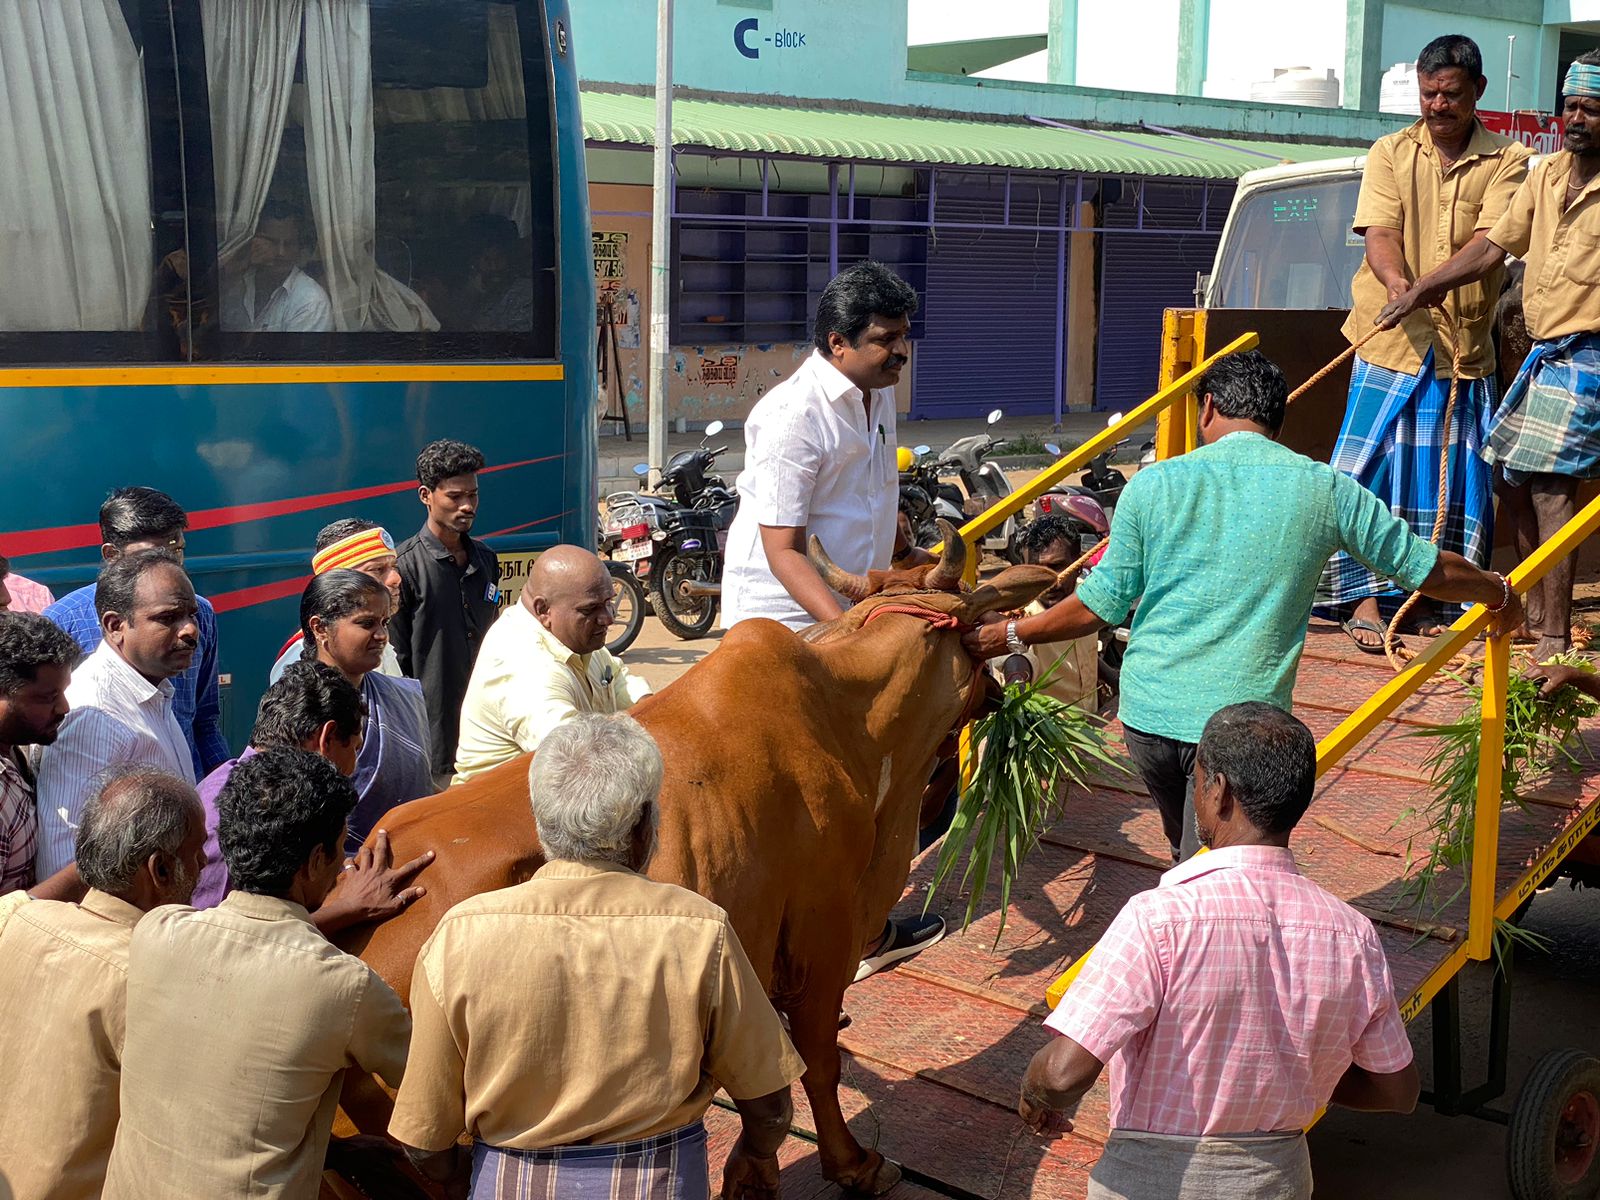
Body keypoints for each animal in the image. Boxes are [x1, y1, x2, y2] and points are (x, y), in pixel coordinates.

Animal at [336, 531, 1049, 1196]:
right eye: (981, 634)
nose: (1008, 679)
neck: (851, 719)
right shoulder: (823, 934)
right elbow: (819, 1064)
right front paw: (852, 1164)